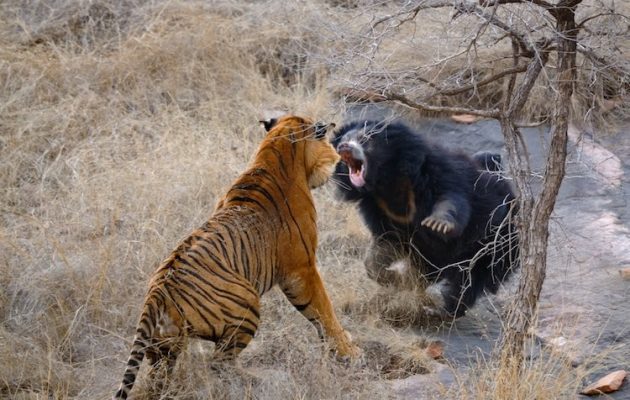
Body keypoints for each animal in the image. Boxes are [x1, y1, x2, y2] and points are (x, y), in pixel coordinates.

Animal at [113, 114, 360, 398]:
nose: (338, 157)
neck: (274, 152)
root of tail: (157, 293)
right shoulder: (302, 269)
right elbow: (323, 310)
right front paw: (348, 351)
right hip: (247, 303)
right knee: (220, 363)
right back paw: (259, 378)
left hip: (163, 347)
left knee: (159, 379)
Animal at [330, 119, 520, 318]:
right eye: (343, 140)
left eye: (365, 139)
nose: (344, 147)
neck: (386, 181)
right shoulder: (379, 208)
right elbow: (384, 246)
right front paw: (395, 278)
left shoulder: (436, 172)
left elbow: (451, 198)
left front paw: (437, 224)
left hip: (495, 244)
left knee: (469, 281)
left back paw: (442, 310)